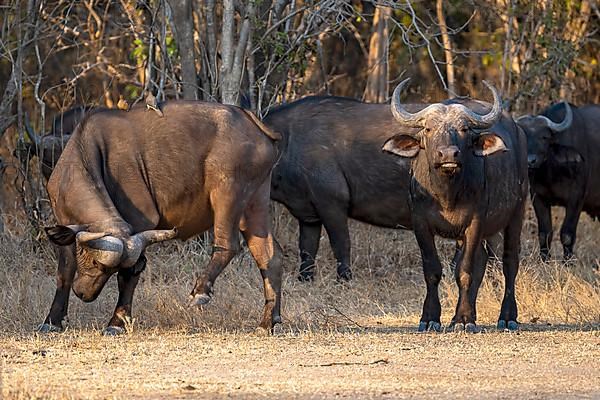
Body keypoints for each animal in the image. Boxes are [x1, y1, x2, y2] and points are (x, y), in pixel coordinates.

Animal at [40, 101, 284, 334]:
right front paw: (52, 321)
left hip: (228, 192)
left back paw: (200, 291)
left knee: (229, 244)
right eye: (92, 261)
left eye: (104, 266)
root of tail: (252, 122)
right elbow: (65, 272)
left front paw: (116, 323)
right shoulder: (64, 224)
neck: (84, 155)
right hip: (254, 203)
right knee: (270, 256)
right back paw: (267, 322)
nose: (84, 294)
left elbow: (129, 275)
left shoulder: (140, 223)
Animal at [516, 101, 600, 260]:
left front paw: (568, 261)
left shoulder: (577, 198)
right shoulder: (538, 197)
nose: (530, 161)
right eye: (524, 136)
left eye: (544, 137)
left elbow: (567, 234)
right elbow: (545, 233)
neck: (552, 174)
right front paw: (544, 259)